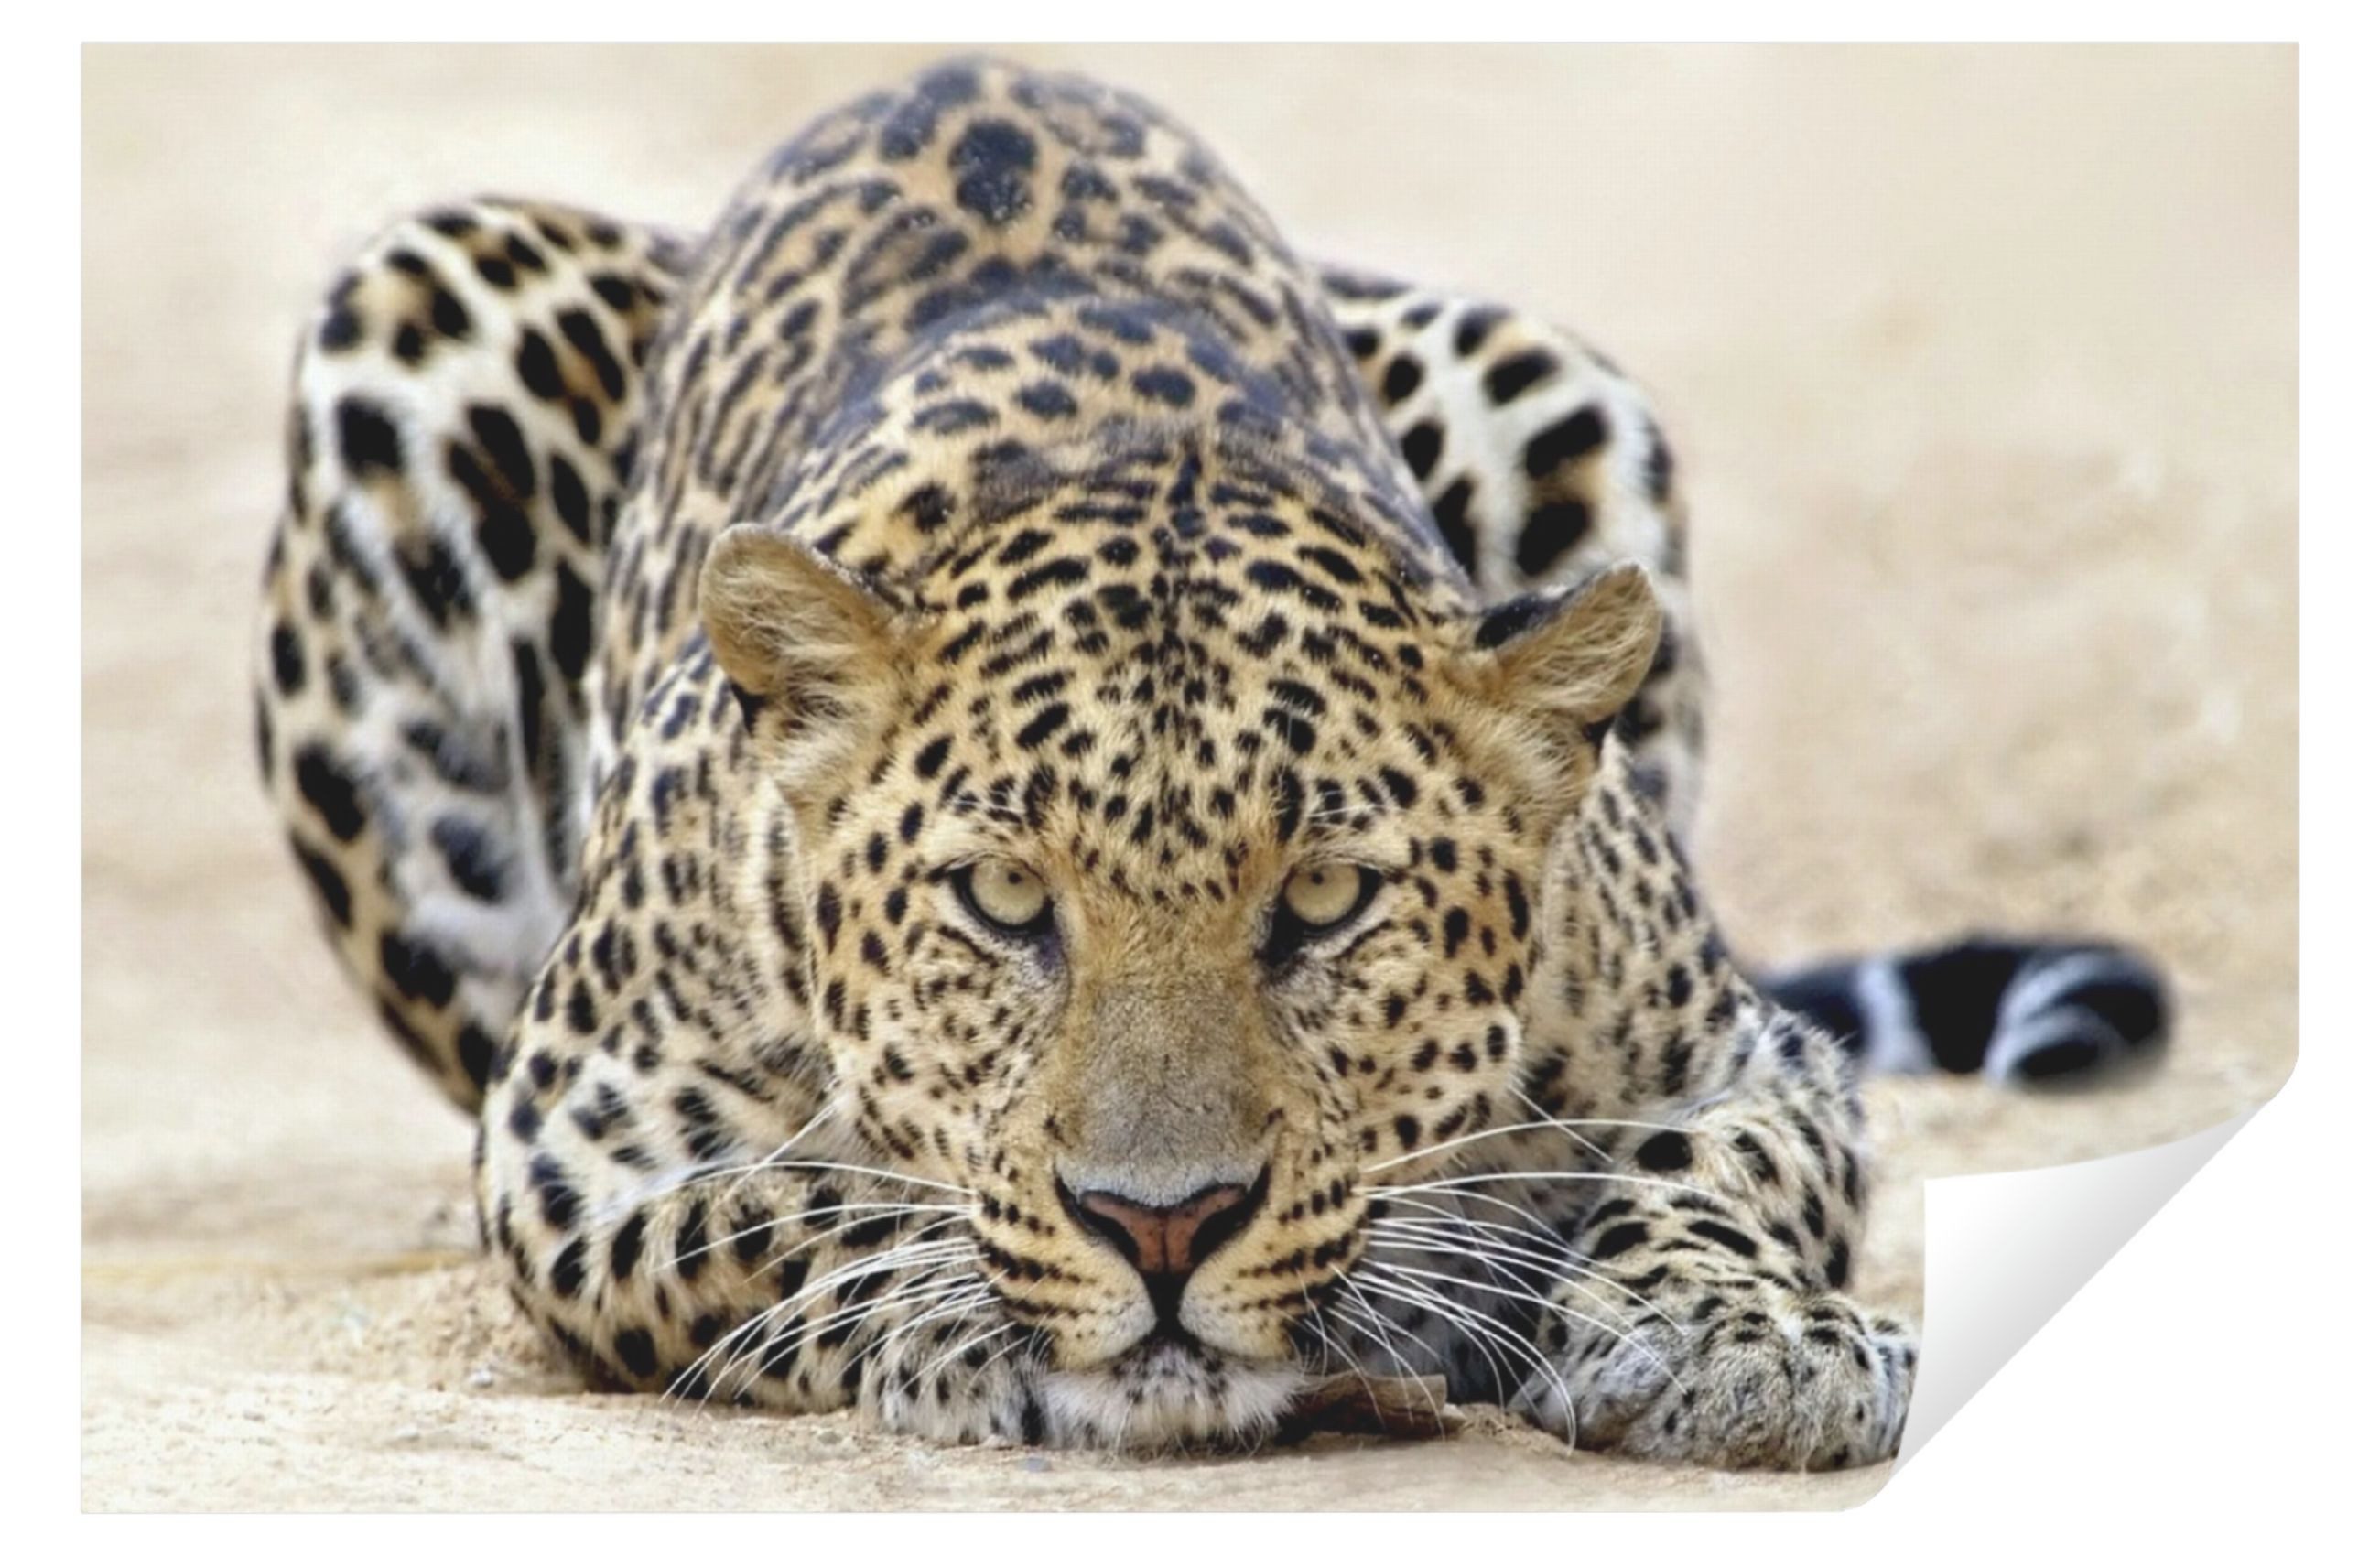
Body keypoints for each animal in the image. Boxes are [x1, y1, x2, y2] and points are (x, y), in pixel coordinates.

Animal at [252, 56, 2168, 1470]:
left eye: (1322, 902)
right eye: (1002, 899)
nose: (1162, 1229)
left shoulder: (1745, 1053)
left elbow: (1724, 1171)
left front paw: (1741, 1336)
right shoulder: (579, 1135)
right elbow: (793, 1204)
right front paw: (954, 1309)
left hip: (1550, 375)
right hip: (417, 306)